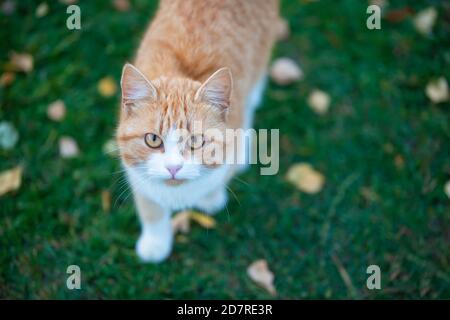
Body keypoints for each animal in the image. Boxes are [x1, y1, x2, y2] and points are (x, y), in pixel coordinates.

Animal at [118, 0, 280, 262]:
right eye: (152, 139)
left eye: (195, 141)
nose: (173, 168)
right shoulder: (136, 175)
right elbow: (151, 209)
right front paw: (156, 242)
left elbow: (218, 177)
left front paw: (211, 198)